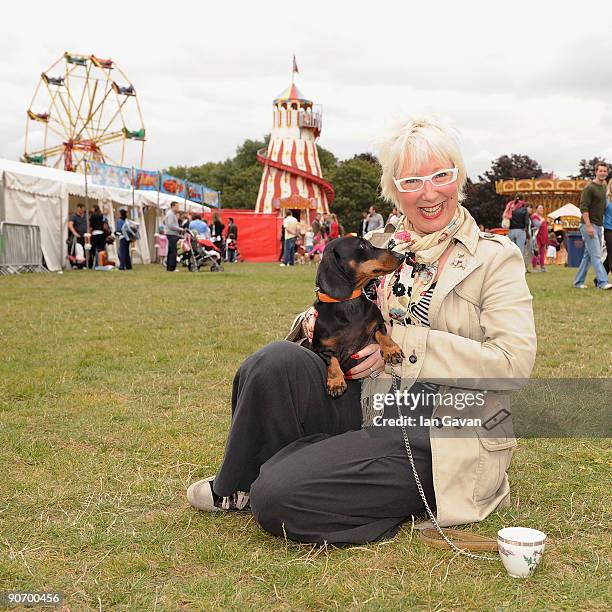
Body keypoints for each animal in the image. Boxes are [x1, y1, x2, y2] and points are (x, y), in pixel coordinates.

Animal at [310, 234, 406, 396]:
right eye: (362, 245)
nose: (401, 256)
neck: (349, 304)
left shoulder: (378, 323)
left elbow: (383, 335)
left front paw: (392, 351)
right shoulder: (321, 349)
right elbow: (332, 361)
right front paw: (335, 382)